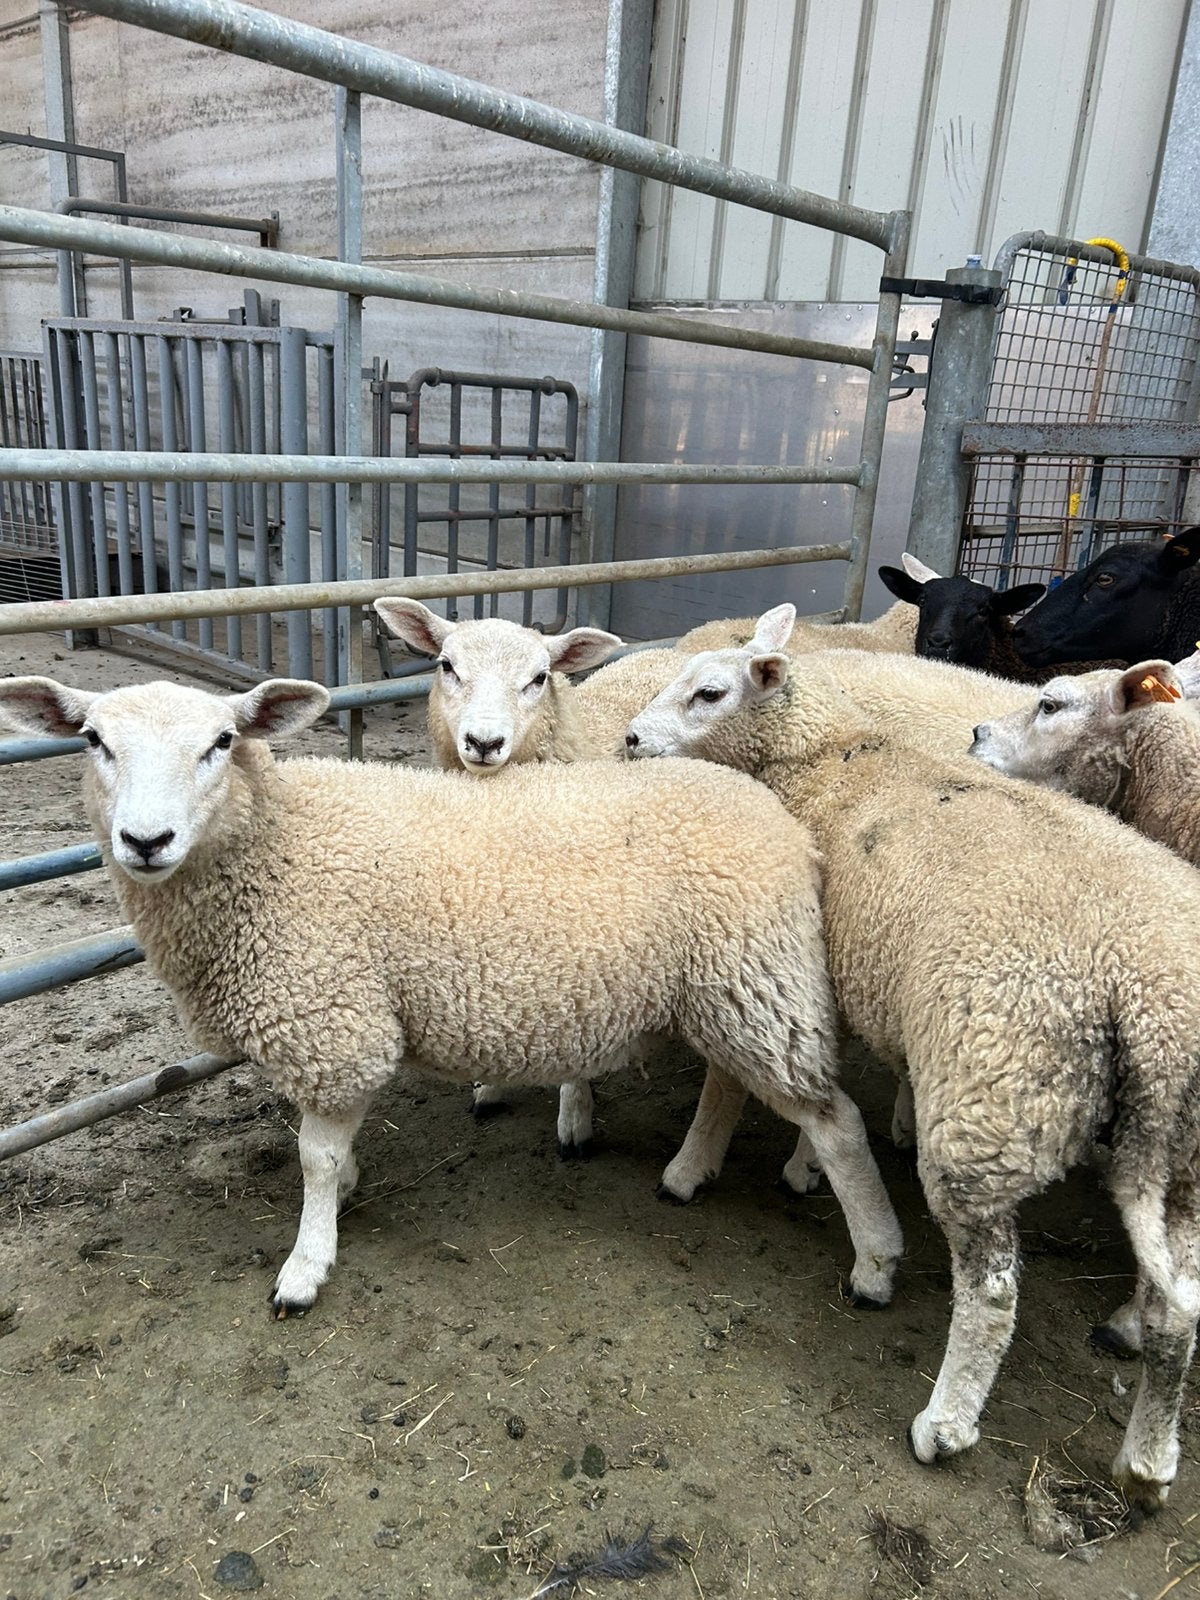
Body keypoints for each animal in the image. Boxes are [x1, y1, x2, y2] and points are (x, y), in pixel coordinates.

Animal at [0, 673, 903, 1320]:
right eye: (93, 740)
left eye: (222, 742)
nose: (145, 840)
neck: (276, 843)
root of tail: (785, 824)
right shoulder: (341, 1021)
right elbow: (330, 1150)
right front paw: (344, 1193)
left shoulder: (336, 1021)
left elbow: (313, 1156)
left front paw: (307, 1263)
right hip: (730, 986)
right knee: (732, 1082)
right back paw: (690, 1172)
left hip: (755, 972)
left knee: (836, 1121)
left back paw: (875, 1261)